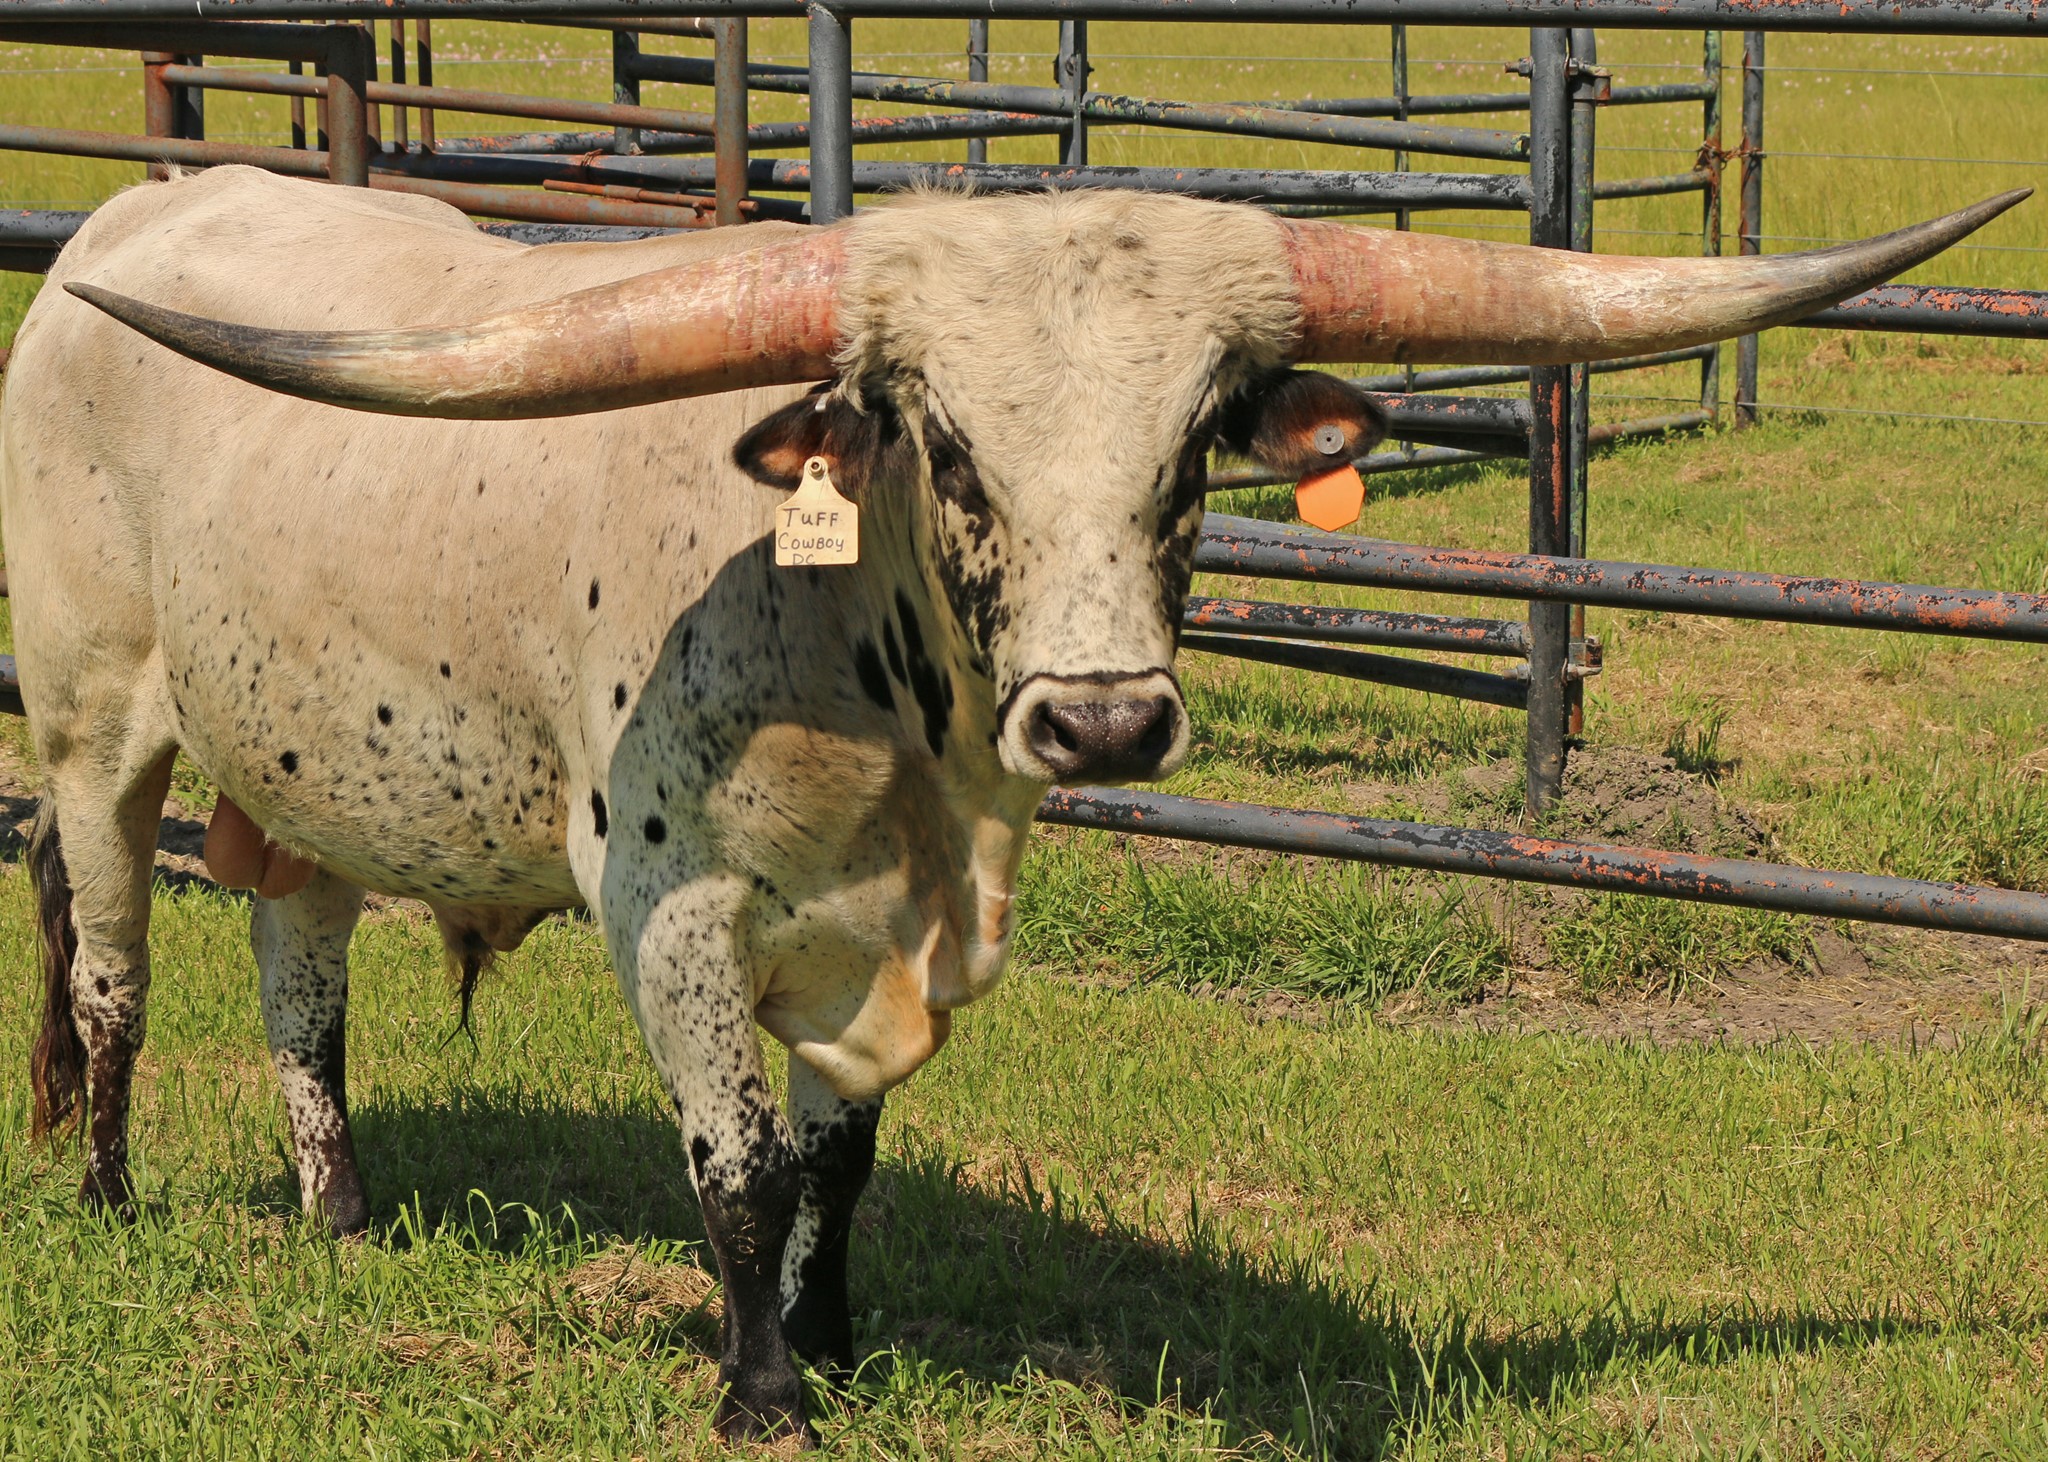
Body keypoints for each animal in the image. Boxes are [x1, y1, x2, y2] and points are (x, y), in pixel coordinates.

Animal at [1, 165, 2017, 1442]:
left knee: (300, 960)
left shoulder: (882, 929)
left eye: (1198, 446)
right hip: (99, 721)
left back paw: (340, 1214)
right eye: (948, 446)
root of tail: (138, 212)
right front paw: (763, 1394)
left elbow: (837, 1159)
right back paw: (108, 1194)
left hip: (302, 756)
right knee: (110, 963)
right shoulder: (668, 905)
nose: (1106, 719)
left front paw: (833, 1341)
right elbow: (738, 1164)